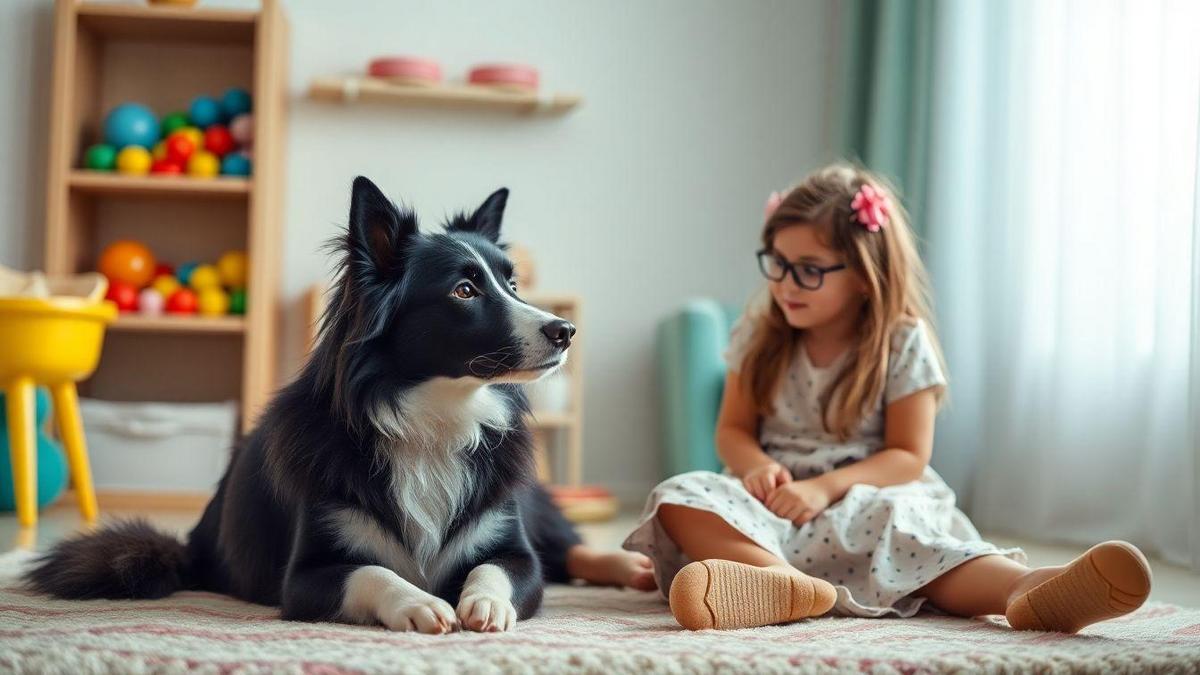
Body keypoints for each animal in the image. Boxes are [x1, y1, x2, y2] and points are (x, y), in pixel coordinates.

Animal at [24, 177, 590, 629]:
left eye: (512, 283)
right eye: (465, 290)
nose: (565, 332)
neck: (433, 416)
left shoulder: (517, 552)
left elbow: (496, 568)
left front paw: (486, 604)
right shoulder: (304, 577)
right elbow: (372, 572)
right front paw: (420, 603)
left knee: (577, 554)